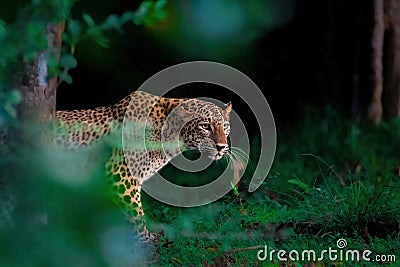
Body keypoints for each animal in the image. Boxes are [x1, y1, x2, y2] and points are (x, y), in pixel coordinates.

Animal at [54, 91, 233, 244]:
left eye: (225, 126)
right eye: (205, 126)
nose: (221, 147)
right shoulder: (122, 176)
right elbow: (136, 213)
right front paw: (145, 240)